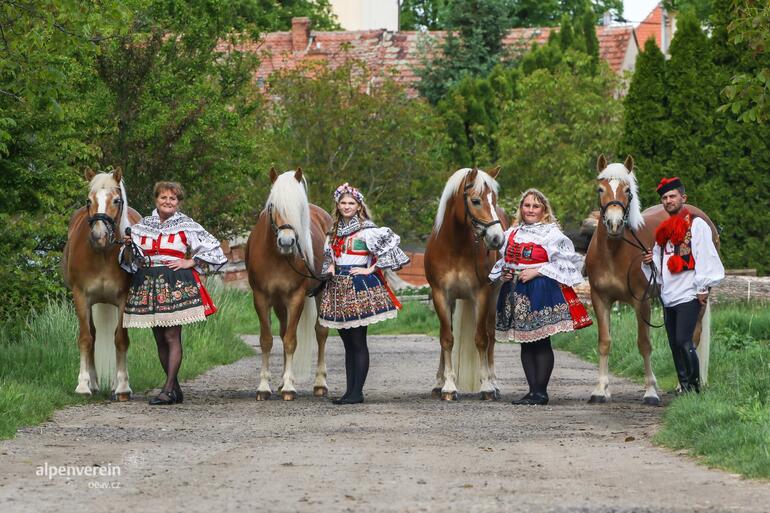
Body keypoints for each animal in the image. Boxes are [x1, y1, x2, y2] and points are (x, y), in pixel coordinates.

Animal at [62, 166, 141, 398]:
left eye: (116, 200)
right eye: (89, 200)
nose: (99, 236)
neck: (103, 253)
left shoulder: (123, 299)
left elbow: (121, 339)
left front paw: (123, 386)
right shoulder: (81, 297)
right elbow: (86, 339)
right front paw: (83, 385)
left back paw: (114, 383)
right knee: (94, 336)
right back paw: (95, 383)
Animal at [244, 168, 332, 400]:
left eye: (299, 208)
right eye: (273, 206)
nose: (287, 242)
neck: (277, 256)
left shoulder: (296, 297)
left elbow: (291, 340)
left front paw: (290, 388)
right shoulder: (261, 297)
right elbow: (267, 340)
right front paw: (264, 387)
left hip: (320, 293)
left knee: (320, 332)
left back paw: (319, 384)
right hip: (279, 303)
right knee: (283, 332)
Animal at [424, 168, 508, 400]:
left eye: (494, 199)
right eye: (476, 200)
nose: (497, 239)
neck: (455, 247)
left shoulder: (482, 295)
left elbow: (481, 339)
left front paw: (487, 386)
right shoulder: (441, 296)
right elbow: (446, 339)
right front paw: (447, 386)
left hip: (494, 297)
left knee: (491, 336)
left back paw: (494, 382)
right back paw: (438, 382)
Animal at [584, 154, 716, 402]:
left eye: (627, 190)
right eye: (600, 189)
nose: (614, 223)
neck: (614, 252)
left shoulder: (641, 301)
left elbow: (644, 344)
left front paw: (650, 391)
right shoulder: (600, 299)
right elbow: (604, 342)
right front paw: (600, 390)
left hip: (698, 301)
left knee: (692, 337)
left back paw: (683, 386)